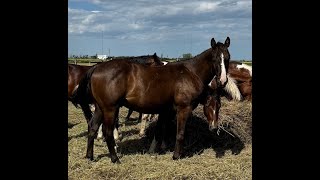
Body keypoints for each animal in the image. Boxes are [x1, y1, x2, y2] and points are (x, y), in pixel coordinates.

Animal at [70, 36, 230, 163]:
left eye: (227, 58)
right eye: (215, 59)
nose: (223, 81)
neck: (190, 73)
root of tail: (96, 68)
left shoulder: (165, 110)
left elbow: (160, 130)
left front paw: (155, 150)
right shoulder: (183, 109)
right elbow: (180, 133)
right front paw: (176, 156)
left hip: (99, 108)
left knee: (92, 128)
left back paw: (89, 157)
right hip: (110, 109)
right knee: (108, 131)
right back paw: (115, 159)